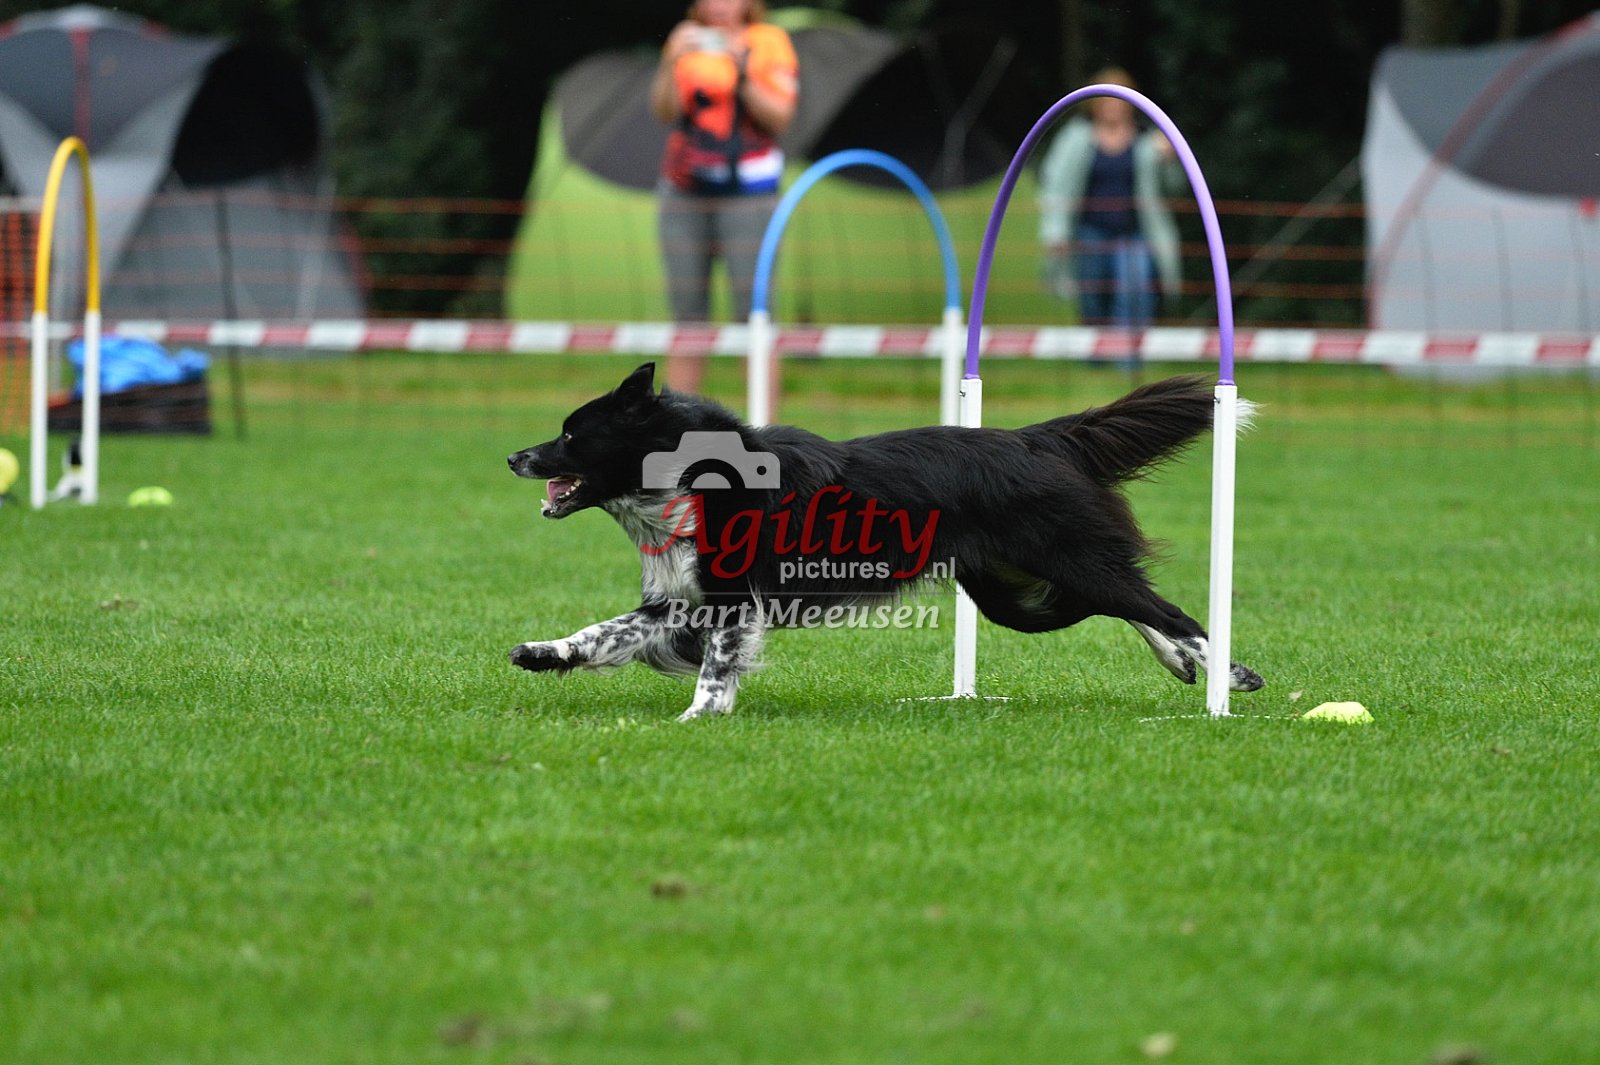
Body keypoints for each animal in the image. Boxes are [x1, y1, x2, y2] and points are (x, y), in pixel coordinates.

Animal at [507, 363, 1263, 720]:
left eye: (572, 434)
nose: (514, 456)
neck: (690, 473)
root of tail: (1038, 438)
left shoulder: (730, 599)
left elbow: (717, 665)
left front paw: (699, 714)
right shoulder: (680, 599)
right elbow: (607, 630)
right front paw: (546, 653)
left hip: (1065, 561)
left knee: (1168, 609)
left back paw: (1225, 675)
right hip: (1011, 592)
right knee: (1131, 606)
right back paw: (1185, 665)